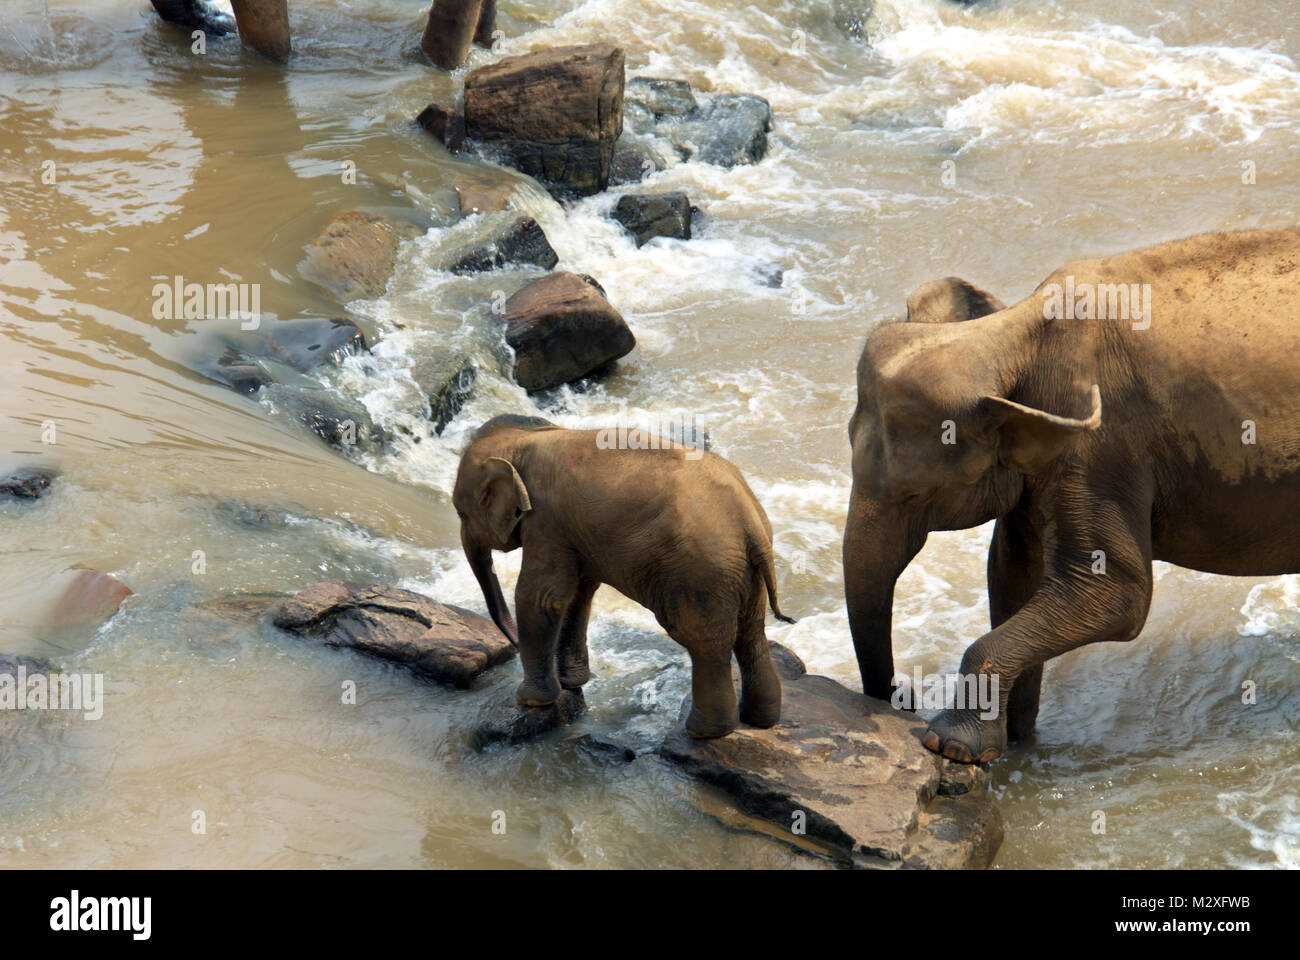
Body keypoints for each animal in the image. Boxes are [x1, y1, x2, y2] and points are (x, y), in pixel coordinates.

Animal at [452, 416, 790, 738]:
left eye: (460, 513)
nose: (513, 644)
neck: (522, 440)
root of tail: (750, 521)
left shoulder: (547, 521)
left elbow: (541, 598)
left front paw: (530, 700)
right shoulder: (574, 532)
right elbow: (578, 595)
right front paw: (571, 683)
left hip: (702, 574)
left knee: (703, 641)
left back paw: (704, 733)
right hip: (742, 572)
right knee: (750, 633)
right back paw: (759, 721)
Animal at [842, 226, 1300, 764]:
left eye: (915, 495)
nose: (905, 696)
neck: (1016, 332)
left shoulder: (1102, 450)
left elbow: (1115, 592)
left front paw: (952, 745)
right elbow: (1012, 575)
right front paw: (1015, 742)